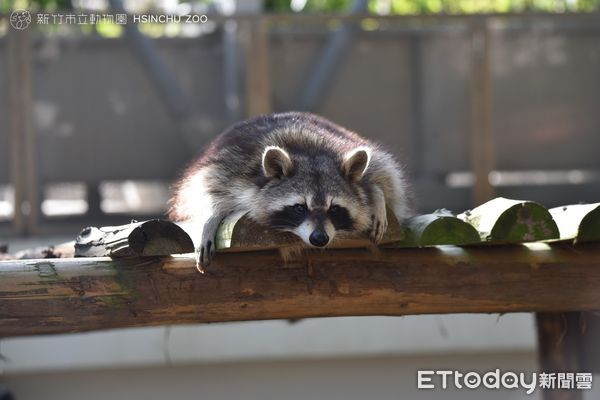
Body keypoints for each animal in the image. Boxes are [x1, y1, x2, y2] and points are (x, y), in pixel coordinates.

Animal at [169, 111, 412, 270]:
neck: (308, 152)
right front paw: (210, 216)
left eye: (334, 209)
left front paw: (376, 192)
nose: (319, 238)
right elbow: (207, 188)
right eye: (299, 208)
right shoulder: (230, 167)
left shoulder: (342, 148)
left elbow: (380, 173)